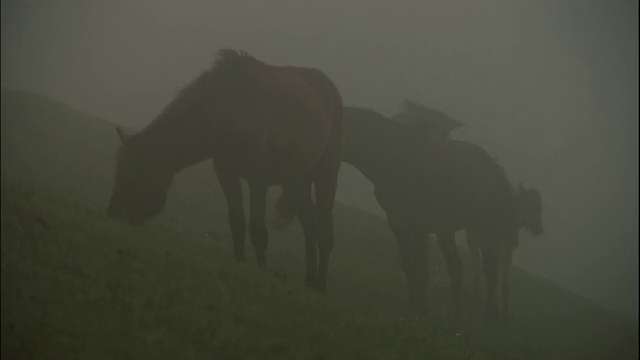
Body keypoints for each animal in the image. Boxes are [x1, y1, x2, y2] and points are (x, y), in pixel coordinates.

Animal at [108, 49, 344, 294]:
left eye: (135, 174)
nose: (112, 214)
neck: (226, 108)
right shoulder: (226, 173)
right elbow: (236, 221)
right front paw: (240, 262)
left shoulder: (258, 179)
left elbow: (258, 229)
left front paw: (261, 271)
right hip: (298, 181)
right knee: (311, 225)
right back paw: (309, 280)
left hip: (326, 173)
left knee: (325, 229)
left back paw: (320, 285)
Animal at [342, 103, 544, 320]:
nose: (538, 229)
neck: (393, 153)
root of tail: (499, 173)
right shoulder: (398, 221)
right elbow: (409, 263)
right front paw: (415, 304)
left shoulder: (419, 224)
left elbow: (421, 266)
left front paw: (421, 308)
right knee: (461, 268)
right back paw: (458, 311)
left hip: (486, 230)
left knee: (490, 271)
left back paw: (490, 313)